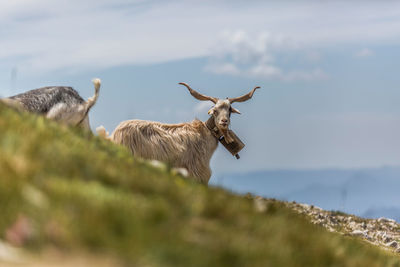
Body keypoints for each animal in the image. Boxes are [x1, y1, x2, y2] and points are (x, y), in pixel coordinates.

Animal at [109, 84, 260, 184]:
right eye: (215, 110)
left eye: (229, 110)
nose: (224, 121)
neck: (204, 135)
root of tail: (115, 135)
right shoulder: (196, 172)